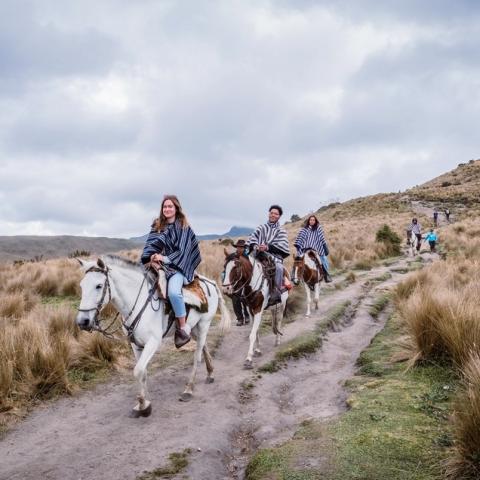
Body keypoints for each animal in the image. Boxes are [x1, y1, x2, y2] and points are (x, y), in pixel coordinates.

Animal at [76, 255, 232, 416]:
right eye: (81, 286)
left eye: (99, 286)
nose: (83, 321)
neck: (137, 302)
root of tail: (211, 283)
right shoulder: (136, 345)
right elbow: (142, 372)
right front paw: (144, 402)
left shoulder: (153, 342)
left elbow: (138, 370)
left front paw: (143, 404)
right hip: (194, 329)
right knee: (204, 346)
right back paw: (210, 373)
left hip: (203, 325)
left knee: (197, 357)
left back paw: (189, 389)